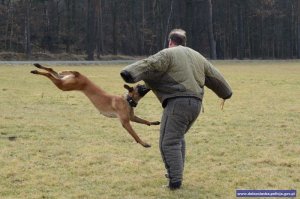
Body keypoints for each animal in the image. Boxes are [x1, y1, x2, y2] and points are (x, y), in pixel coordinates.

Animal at [31, 63, 159, 148]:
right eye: (140, 86)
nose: (148, 84)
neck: (127, 100)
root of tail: (80, 76)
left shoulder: (132, 117)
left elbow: (145, 121)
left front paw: (154, 122)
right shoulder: (126, 122)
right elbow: (135, 134)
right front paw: (143, 143)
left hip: (63, 81)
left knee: (52, 70)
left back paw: (37, 66)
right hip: (64, 85)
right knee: (49, 74)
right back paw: (36, 71)